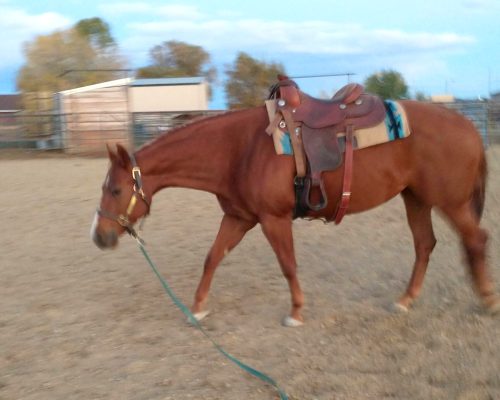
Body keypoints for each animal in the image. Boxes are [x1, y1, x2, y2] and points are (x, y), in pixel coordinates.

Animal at [92, 101, 498, 326]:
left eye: (115, 190)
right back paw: (405, 300)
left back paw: (488, 301)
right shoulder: (239, 218)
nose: (99, 236)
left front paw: (296, 312)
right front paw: (197, 309)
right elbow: (213, 257)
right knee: (425, 245)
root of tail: (467, 126)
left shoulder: (273, 219)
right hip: (415, 198)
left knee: (475, 239)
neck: (238, 149)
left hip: (450, 202)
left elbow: (287, 264)